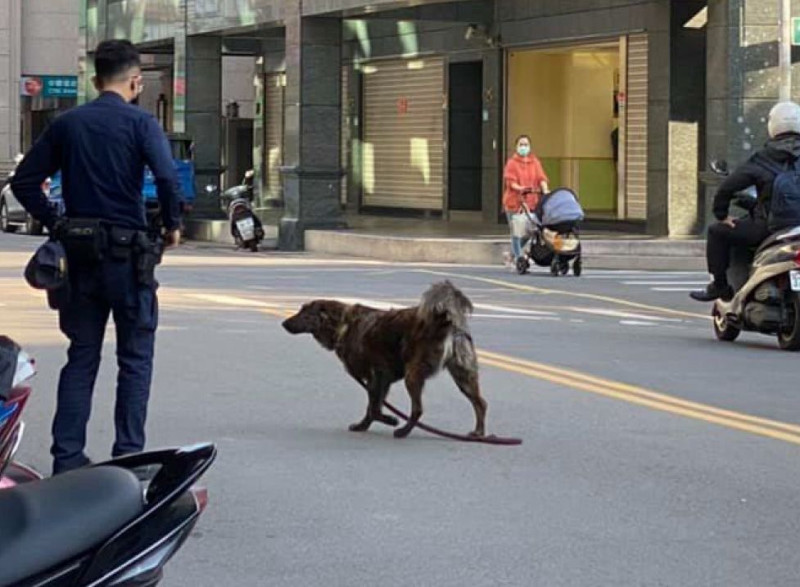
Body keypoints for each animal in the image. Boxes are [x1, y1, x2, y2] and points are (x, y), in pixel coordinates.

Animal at [284, 282, 484, 438]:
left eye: (304, 313)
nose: (283, 323)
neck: (343, 325)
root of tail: (444, 322)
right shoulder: (381, 379)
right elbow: (372, 407)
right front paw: (363, 425)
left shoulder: (378, 376)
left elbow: (373, 408)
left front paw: (390, 420)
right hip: (464, 376)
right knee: (480, 403)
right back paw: (479, 433)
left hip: (413, 375)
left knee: (418, 409)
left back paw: (403, 431)